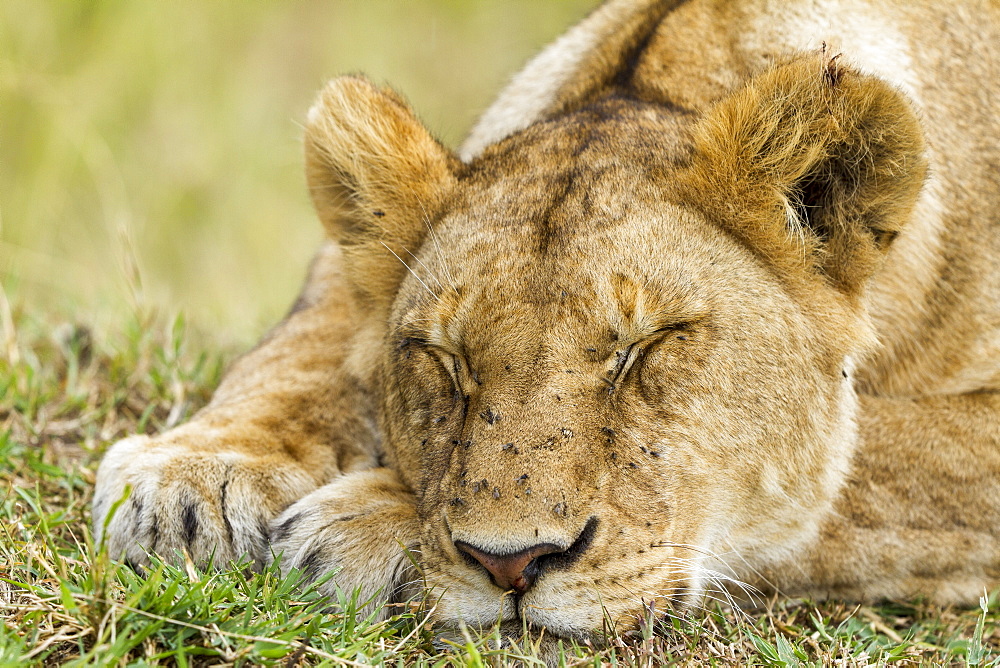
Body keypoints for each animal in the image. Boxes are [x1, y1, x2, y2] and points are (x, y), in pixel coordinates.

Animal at [94, 0, 1000, 652]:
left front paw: (361, 524)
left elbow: (864, 463)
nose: (511, 565)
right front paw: (194, 478)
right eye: (445, 357)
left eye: (646, 346)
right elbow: (303, 340)